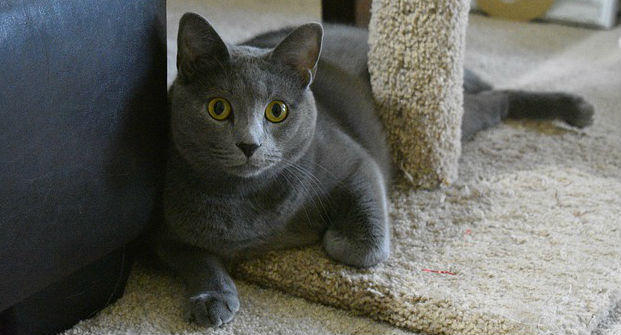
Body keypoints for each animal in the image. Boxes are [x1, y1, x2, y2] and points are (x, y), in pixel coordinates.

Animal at [157, 12, 592, 328]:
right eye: (218, 108)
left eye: (276, 111)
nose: (250, 144)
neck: (243, 199)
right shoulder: (160, 231)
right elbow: (196, 258)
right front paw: (213, 298)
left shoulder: (356, 164)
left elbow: (363, 248)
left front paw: (326, 233)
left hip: (449, 122)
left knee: (496, 99)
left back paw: (577, 108)